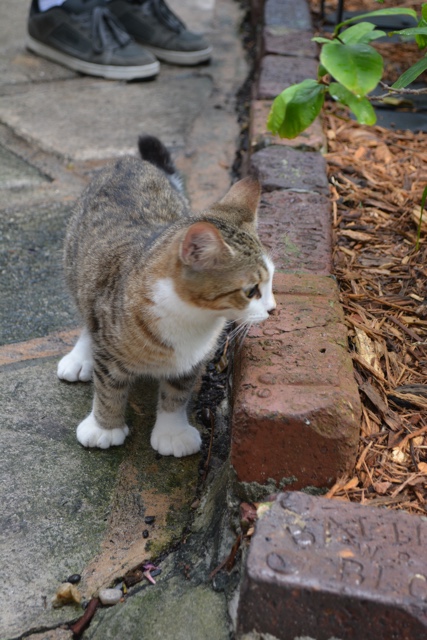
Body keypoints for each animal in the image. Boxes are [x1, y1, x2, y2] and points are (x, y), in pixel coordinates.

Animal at [58, 136, 276, 456]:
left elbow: (177, 392)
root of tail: (130, 162)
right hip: (78, 271)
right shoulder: (109, 342)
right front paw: (104, 427)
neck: (194, 317)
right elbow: (109, 387)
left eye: (272, 281)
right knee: (88, 316)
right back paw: (81, 355)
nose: (273, 309)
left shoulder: (192, 358)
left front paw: (172, 432)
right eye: (251, 291)